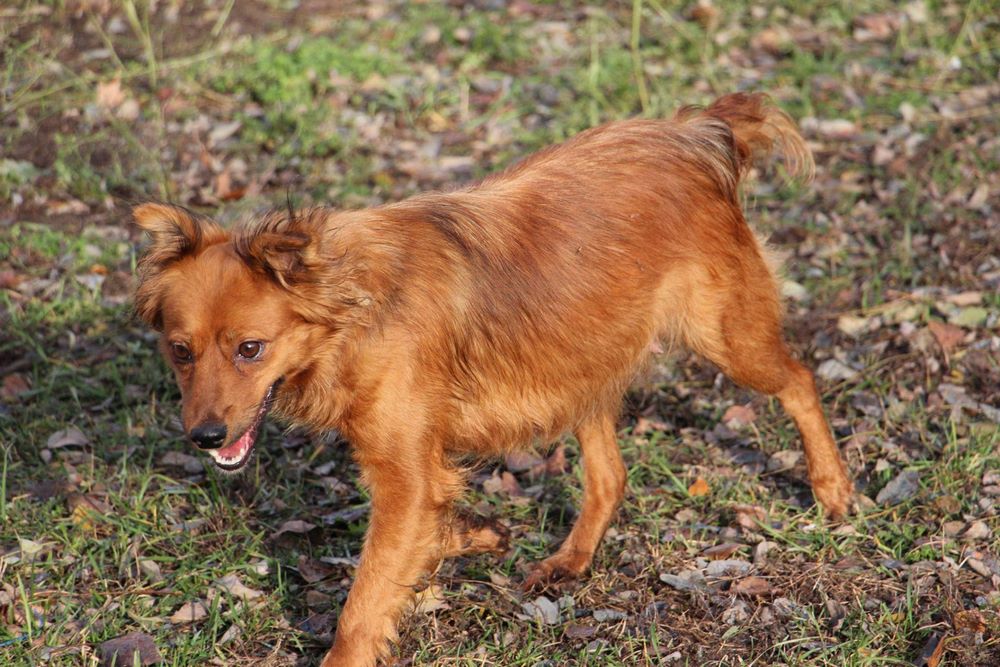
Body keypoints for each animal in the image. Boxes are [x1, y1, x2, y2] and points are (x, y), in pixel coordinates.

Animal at [133, 93, 854, 666]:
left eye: (250, 349)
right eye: (180, 351)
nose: (204, 436)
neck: (350, 307)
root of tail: (692, 132)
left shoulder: (404, 475)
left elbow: (366, 598)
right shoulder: (416, 469)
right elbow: (424, 533)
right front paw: (473, 537)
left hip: (723, 337)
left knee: (799, 379)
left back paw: (833, 488)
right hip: (579, 355)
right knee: (610, 475)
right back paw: (571, 558)